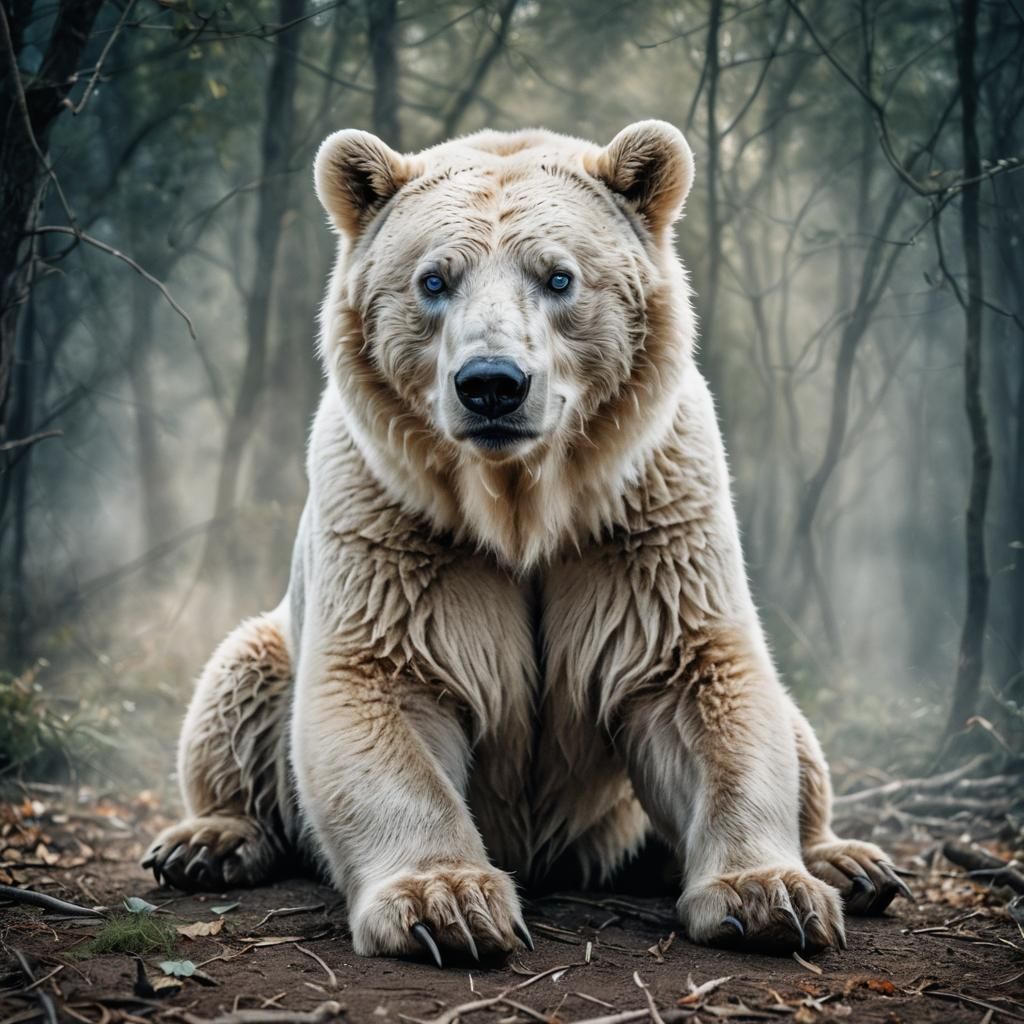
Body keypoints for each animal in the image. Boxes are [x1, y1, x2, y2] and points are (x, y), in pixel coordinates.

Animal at [143, 121, 910, 962]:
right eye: (433, 280)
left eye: (559, 277)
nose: (492, 384)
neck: (524, 508)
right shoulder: (396, 518)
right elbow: (380, 684)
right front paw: (447, 901)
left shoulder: (647, 517)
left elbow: (699, 681)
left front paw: (769, 894)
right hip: (274, 643)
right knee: (237, 681)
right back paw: (206, 842)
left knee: (796, 733)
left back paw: (848, 862)